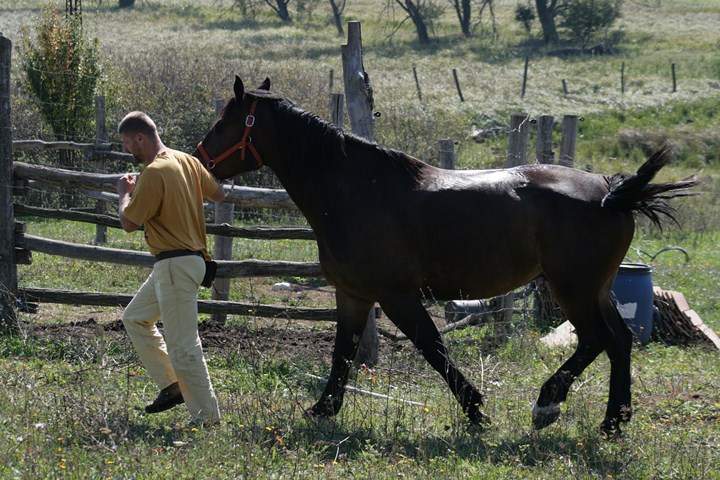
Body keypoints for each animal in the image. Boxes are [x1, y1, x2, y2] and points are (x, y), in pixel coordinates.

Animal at [194, 77, 700, 434]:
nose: (199, 160)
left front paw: (476, 410)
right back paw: (613, 422)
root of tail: (611, 193)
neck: (353, 190)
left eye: (223, 123)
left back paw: (547, 404)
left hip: (571, 288)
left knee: (596, 340)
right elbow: (342, 353)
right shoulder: (353, 294)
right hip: (597, 288)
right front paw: (322, 409)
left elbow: (433, 349)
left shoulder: (397, 296)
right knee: (620, 341)